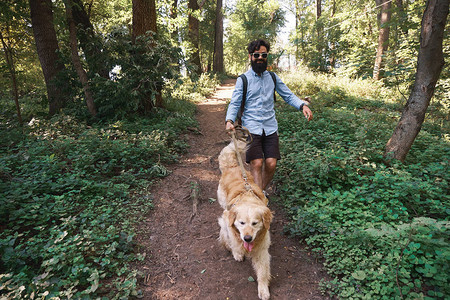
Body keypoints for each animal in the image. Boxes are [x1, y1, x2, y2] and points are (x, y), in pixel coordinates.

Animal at [216, 139, 272, 298]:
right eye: (241, 223)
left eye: (255, 223)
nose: (247, 238)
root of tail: (234, 166)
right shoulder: (227, 219)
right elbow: (232, 240)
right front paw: (237, 252)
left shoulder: (262, 248)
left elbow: (263, 271)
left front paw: (263, 289)